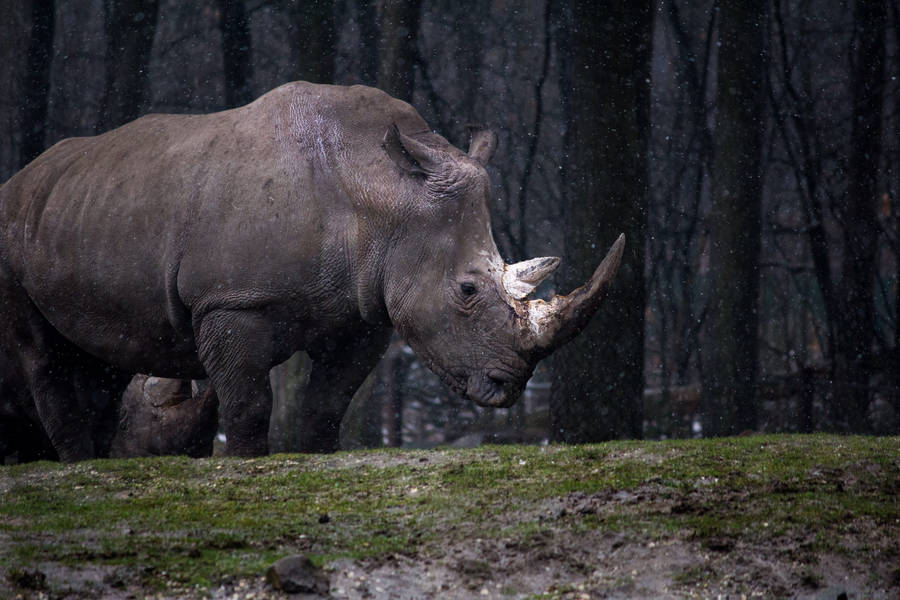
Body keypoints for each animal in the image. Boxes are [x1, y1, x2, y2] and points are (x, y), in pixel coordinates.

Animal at [0, 81, 624, 461]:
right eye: (467, 289)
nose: (507, 386)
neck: (381, 193)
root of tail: (21, 179)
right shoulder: (232, 300)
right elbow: (249, 402)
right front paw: (246, 461)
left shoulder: (364, 310)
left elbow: (329, 400)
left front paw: (316, 454)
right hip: (11, 231)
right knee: (44, 355)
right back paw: (79, 464)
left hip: (81, 210)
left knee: (97, 356)